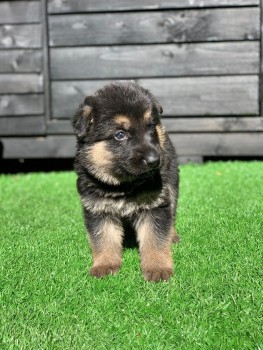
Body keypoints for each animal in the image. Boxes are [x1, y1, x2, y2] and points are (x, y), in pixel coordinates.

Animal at [72, 81, 179, 282]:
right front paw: (105, 265)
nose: (155, 160)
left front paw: (157, 268)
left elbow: (155, 238)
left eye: (150, 126)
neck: (124, 185)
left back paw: (173, 235)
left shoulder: (155, 205)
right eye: (120, 135)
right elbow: (104, 239)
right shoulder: (98, 209)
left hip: (172, 185)